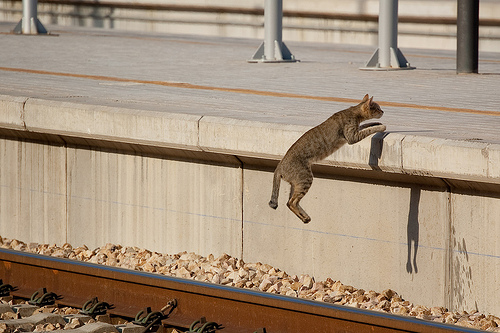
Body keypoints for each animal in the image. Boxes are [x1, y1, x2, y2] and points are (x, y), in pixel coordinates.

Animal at [270, 94, 386, 223]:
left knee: (289, 202)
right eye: (377, 108)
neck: (353, 112)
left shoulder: (355, 130)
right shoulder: (352, 137)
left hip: (296, 184)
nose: (383, 111)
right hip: (305, 179)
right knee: (292, 202)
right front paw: (381, 127)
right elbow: (368, 130)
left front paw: (376, 123)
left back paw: (304, 217)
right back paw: (305, 218)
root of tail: (279, 167)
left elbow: (365, 125)